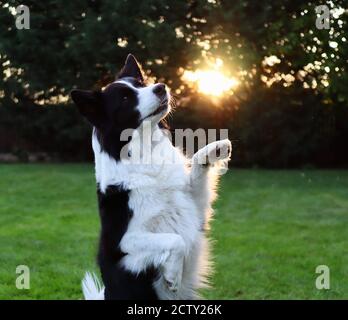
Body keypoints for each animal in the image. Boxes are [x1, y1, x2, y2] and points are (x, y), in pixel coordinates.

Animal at [70, 55, 231, 300]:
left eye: (141, 84)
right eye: (125, 98)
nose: (160, 87)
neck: (146, 152)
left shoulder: (195, 208)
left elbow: (197, 166)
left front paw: (216, 149)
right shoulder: (125, 245)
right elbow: (175, 239)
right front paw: (173, 275)